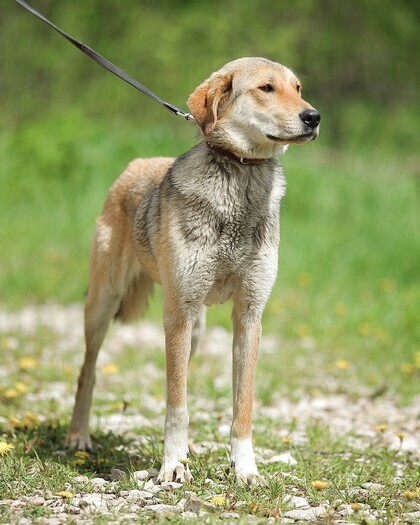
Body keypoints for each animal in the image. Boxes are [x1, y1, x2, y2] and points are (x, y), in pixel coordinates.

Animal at [65, 56, 322, 484]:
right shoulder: (178, 316)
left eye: (298, 88)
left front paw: (244, 469)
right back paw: (78, 436)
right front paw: (171, 465)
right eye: (266, 88)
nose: (314, 117)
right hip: (104, 306)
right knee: (89, 372)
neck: (240, 178)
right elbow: (177, 405)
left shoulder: (249, 316)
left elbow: (242, 407)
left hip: (196, 330)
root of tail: (134, 164)